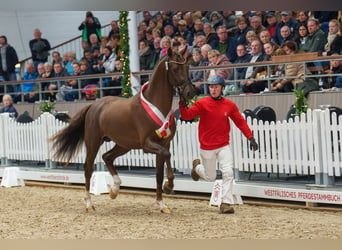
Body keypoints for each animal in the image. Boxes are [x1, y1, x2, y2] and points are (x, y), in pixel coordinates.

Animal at [50, 47, 198, 213]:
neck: (155, 104)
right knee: (88, 168)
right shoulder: (148, 145)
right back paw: (89, 204)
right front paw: (169, 186)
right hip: (94, 142)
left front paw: (162, 204)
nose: (190, 92)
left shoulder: (164, 144)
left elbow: (159, 175)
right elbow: (167, 156)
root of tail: (94, 105)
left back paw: (114, 190)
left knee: (107, 157)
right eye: (175, 69)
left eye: (187, 67)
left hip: (124, 144)